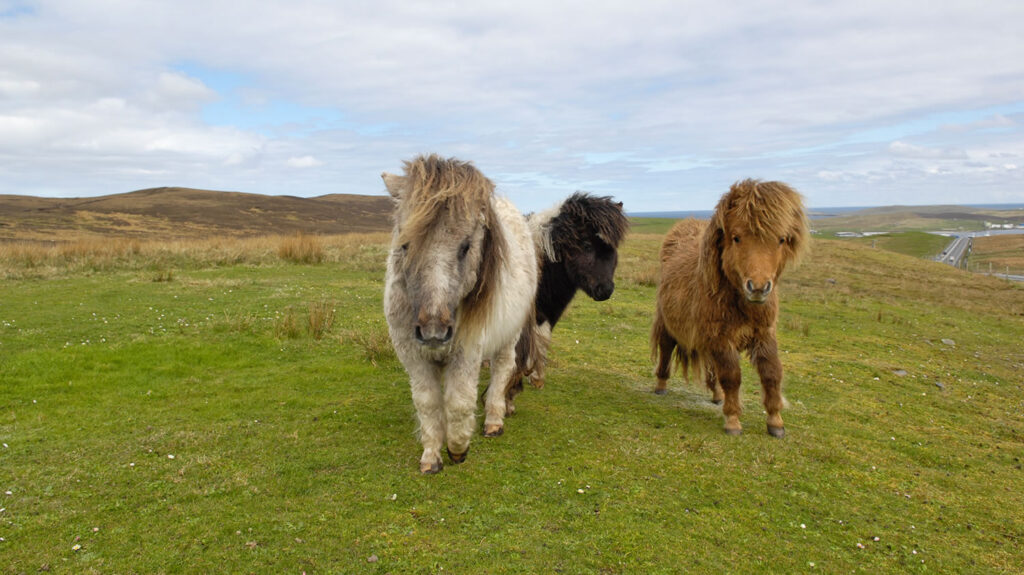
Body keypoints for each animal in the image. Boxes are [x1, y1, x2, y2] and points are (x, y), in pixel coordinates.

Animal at [382, 154, 537, 474]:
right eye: (404, 245)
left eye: (466, 246)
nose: (433, 333)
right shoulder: (413, 356)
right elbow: (427, 403)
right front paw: (431, 456)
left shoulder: (467, 351)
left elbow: (458, 401)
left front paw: (457, 447)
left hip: (509, 336)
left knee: (503, 370)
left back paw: (493, 420)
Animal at [503, 193, 629, 412]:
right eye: (586, 245)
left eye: (612, 248)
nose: (605, 290)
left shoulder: (549, 312)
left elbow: (542, 341)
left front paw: (536, 377)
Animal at [651, 179, 808, 437]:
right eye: (736, 238)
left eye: (781, 239)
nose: (758, 288)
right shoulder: (721, 339)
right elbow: (732, 377)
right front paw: (733, 420)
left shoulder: (763, 335)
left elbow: (772, 374)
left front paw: (775, 421)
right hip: (667, 324)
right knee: (665, 349)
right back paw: (661, 385)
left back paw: (717, 396)